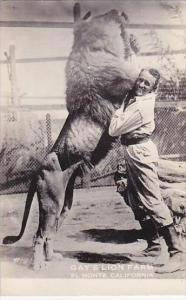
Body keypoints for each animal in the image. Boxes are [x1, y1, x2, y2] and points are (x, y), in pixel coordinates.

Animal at [2, 7, 140, 270]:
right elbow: (136, 75)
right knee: (39, 235)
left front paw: (134, 43)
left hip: (65, 203)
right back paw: (37, 265)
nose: (119, 11)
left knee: (49, 234)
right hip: (51, 202)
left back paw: (51, 258)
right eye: (105, 15)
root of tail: (37, 170)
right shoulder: (118, 86)